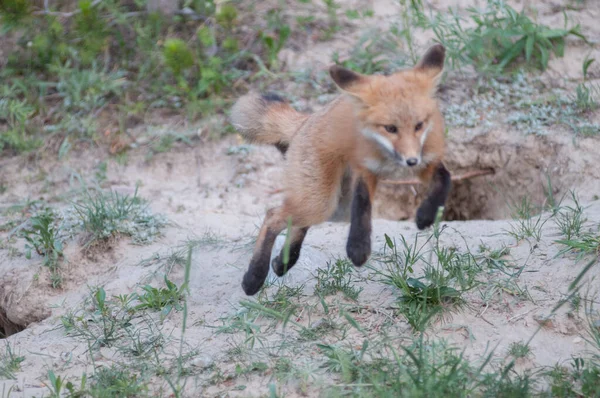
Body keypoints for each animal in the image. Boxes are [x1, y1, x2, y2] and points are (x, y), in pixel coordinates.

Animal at [230, 44, 450, 296]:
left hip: (335, 207)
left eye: (419, 125)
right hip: (322, 202)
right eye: (390, 128)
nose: (410, 161)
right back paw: (255, 276)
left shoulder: (427, 160)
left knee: (294, 221)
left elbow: (445, 179)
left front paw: (426, 215)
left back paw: (283, 262)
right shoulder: (365, 169)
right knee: (272, 216)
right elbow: (362, 207)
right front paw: (358, 249)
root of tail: (308, 119)